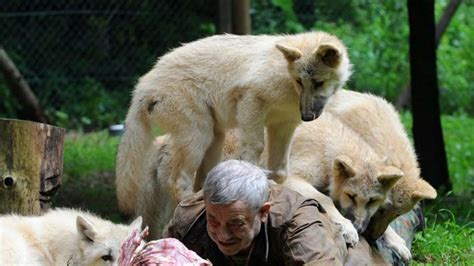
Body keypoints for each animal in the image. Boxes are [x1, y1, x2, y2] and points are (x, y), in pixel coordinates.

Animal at [115, 30, 352, 216]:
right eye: (300, 82)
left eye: (318, 83)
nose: (307, 116)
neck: (286, 79)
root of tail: (142, 87)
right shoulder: (251, 101)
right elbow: (255, 149)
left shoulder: (284, 125)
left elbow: (280, 171)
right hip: (199, 135)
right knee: (178, 181)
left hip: (215, 137)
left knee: (201, 179)